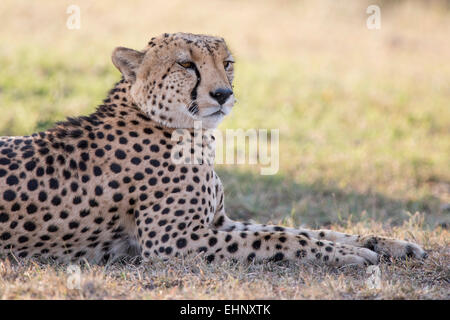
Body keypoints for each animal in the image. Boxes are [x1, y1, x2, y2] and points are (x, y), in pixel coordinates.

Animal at [0, 33, 426, 268]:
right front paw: (346, 256)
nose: (223, 93)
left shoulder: (219, 222)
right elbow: (282, 240)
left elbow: (299, 229)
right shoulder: (174, 241)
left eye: (228, 63)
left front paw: (385, 244)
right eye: (186, 64)